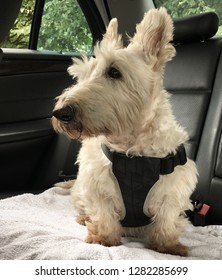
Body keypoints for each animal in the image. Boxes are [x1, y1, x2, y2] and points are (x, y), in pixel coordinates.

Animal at [52, 7, 198, 256]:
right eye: (82, 75)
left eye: (114, 72)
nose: (61, 113)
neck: (133, 150)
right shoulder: (97, 186)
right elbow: (103, 214)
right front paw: (103, 238)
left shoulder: (172, 190)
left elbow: (167, 220)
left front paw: (168, 247)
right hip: (80, 190)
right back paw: (83, 217)